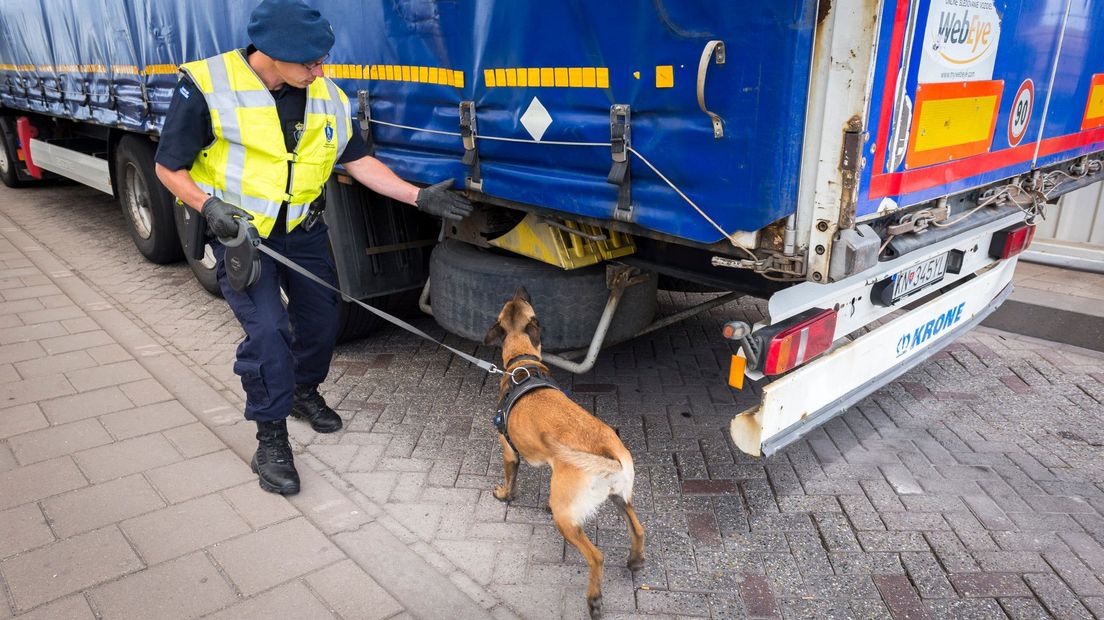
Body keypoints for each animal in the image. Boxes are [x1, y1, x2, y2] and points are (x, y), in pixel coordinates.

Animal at [485, 286, 644, 613]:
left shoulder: (508, 451)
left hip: (567, 521)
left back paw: (594, 599)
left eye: (517, 300)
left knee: (596, 556)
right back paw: (635, 560)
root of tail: (609, 454)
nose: (522, 286)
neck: (523, 364)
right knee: (638, 530)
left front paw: (504, 495)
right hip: (621, 498)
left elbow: (510, 480)